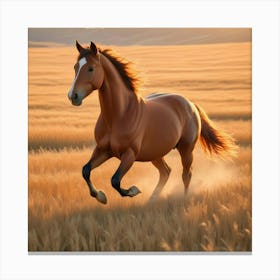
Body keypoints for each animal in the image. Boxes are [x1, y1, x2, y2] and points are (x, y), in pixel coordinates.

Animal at [67, 41, 236, 203]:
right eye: (75, 67)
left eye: (90, 68)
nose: (73, 96)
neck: (119, 116)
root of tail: (190, 104)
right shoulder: (103, 150)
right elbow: (85, 170)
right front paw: (101, 197)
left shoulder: (129, 155)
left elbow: (115, 180)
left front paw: (133, 190)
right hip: (155, 153)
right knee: (166, 172)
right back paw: (152, 199)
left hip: (186, 149)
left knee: (186, 174)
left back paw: (183, 198)